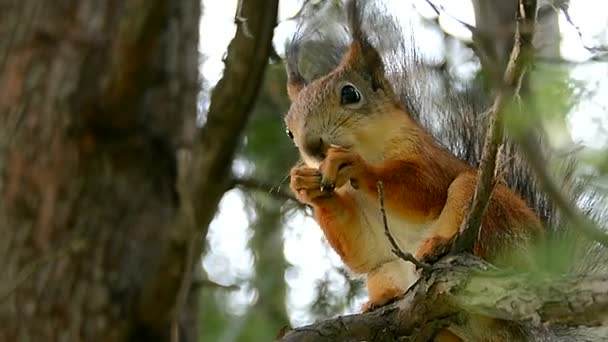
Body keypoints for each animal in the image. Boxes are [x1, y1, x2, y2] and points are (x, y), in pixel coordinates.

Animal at [282, 0, 544, 316]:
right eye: (288, 130)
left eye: (350, 94)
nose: (312, 147)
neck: (372, 148)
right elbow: (362, 249)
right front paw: (305, 185)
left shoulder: (426, 157)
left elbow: (423, 188)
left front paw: (355, 166)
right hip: (384, 272)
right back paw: (381, 300)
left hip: (494, 214)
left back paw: (439, 246)